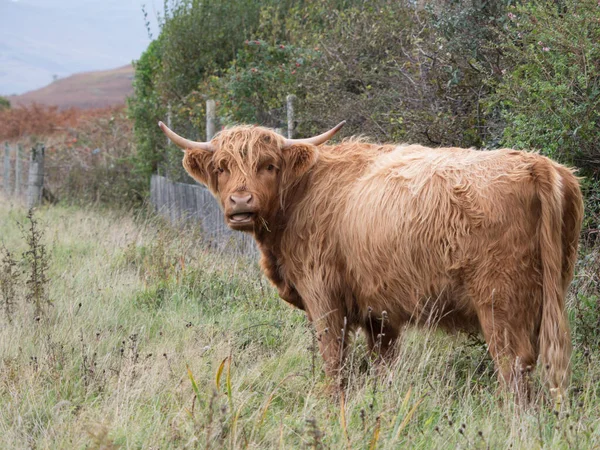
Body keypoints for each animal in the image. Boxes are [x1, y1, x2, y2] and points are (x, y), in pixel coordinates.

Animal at [158, 120, 580, 400]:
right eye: (222, 167)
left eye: (268, 165)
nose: (241, 202)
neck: (300, 196)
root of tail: (536, 163)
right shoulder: (380, 312)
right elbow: (382, 366)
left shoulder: (324, 297)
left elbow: (334, 359)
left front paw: (333, 406)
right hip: (547, 295)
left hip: (500, 302)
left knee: (513, 366)